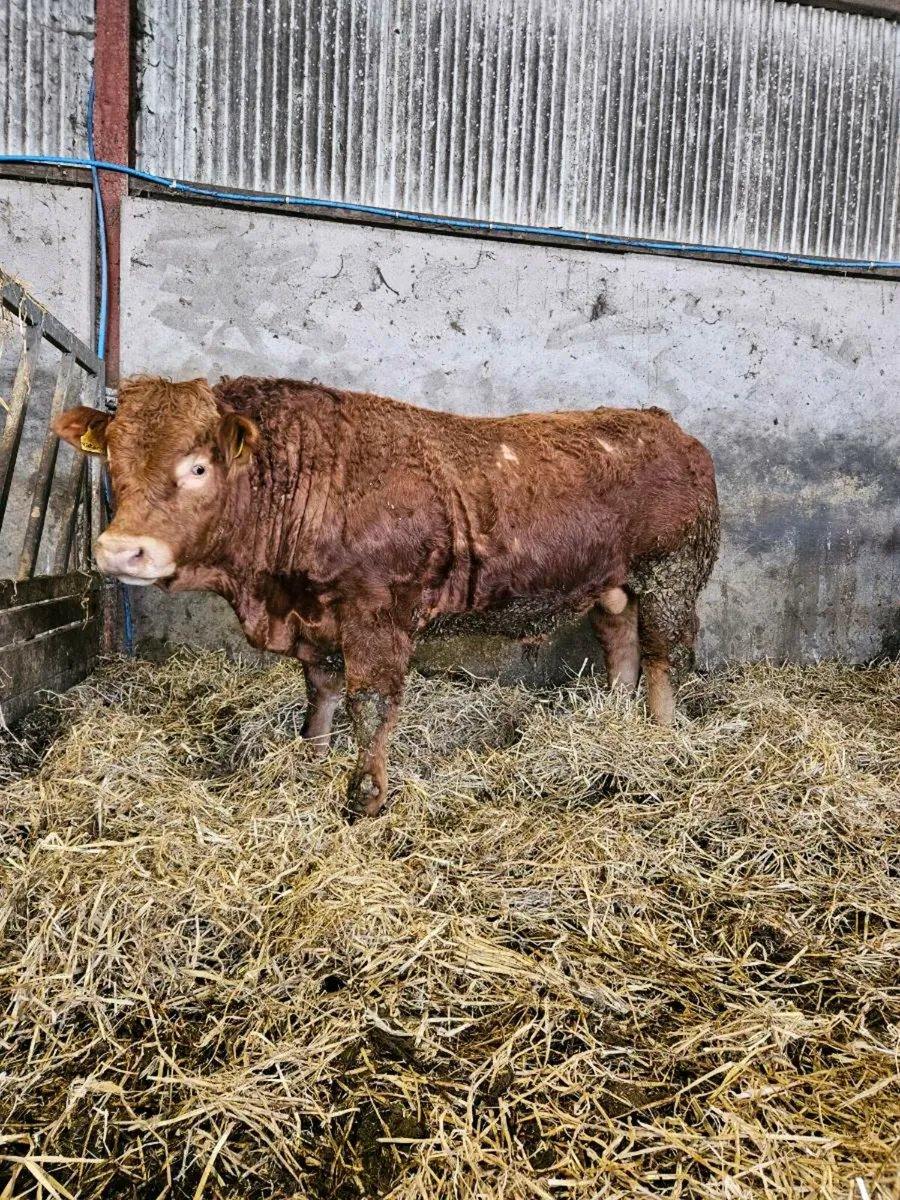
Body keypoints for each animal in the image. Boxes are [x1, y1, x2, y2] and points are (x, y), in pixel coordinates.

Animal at [54, 376, 719, 818]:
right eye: (111, 459)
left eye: (198, 467)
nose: (121, 551)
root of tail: (667, 425)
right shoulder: (316, 622)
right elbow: (320, 695)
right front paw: (311, 759)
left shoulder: (377, 613)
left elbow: (370, 704)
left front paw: (368, 796)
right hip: (614, 585)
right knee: (621, 646)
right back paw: (617, 722)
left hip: (673, 572)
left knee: (664, 656)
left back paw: (661, 742)